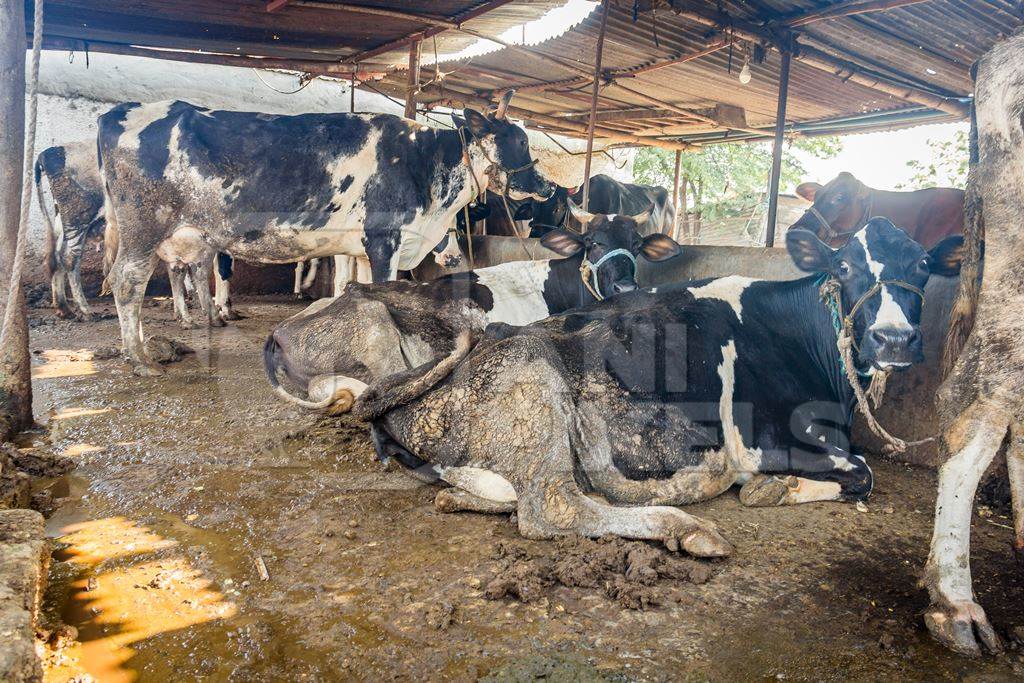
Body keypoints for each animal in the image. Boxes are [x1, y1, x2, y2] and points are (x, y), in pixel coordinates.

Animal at [97, 91, 552, 376]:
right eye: (519, 141)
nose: (547, 185)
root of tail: (119, 112)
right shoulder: (384, 238)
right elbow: (381, 290)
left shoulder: (376, 245)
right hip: (144, 227)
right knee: (128, 282)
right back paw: (140, 358)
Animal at [356, 219, 962, 561]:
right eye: (844, 265)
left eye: (924, 264)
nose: (894, 338)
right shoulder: (770, 441)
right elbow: (863, 472)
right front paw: (773, 490)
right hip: (540, 394)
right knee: (552, 507)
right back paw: (687, 526)